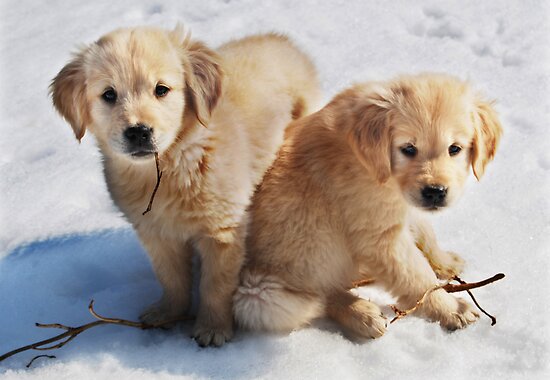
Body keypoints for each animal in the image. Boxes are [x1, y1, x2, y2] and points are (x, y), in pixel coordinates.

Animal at [50, 26, 324, 348]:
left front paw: (212, 328)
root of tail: (279, 39)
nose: (138, 132)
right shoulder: (156, 233)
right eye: (109, 94)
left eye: (161, 90)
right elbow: (171, 278)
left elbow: (215, 285)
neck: (172, 164)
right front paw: (167, 314)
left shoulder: (222, 231)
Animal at [235, 73, 502, 338]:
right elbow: (419, 278)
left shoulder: (404, 205)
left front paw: (444, 261)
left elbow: (425, 231)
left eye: (455, 149)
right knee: (321, 296)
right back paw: (361, 313)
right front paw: (451, 307)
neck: (378, 169)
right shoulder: (380, 237)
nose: (435, 192)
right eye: (408, 149)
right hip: (268, 286)